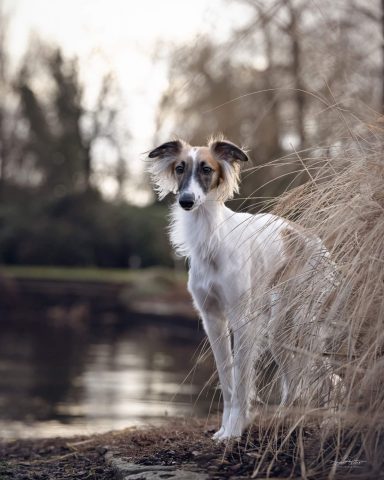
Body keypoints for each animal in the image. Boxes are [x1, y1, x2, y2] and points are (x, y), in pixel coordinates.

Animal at [148, 137, 334, 440]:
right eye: (179, 168)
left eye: (207, 169)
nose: (186, 201)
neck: (213, 238)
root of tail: (317, 241)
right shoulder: (212, 318)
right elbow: (227, 378)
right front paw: (224, 428)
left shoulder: (243, 318)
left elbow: (241, 379)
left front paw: (234, 430)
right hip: (280, 332)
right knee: (297, 381)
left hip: (300, 324)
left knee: (323, 375)